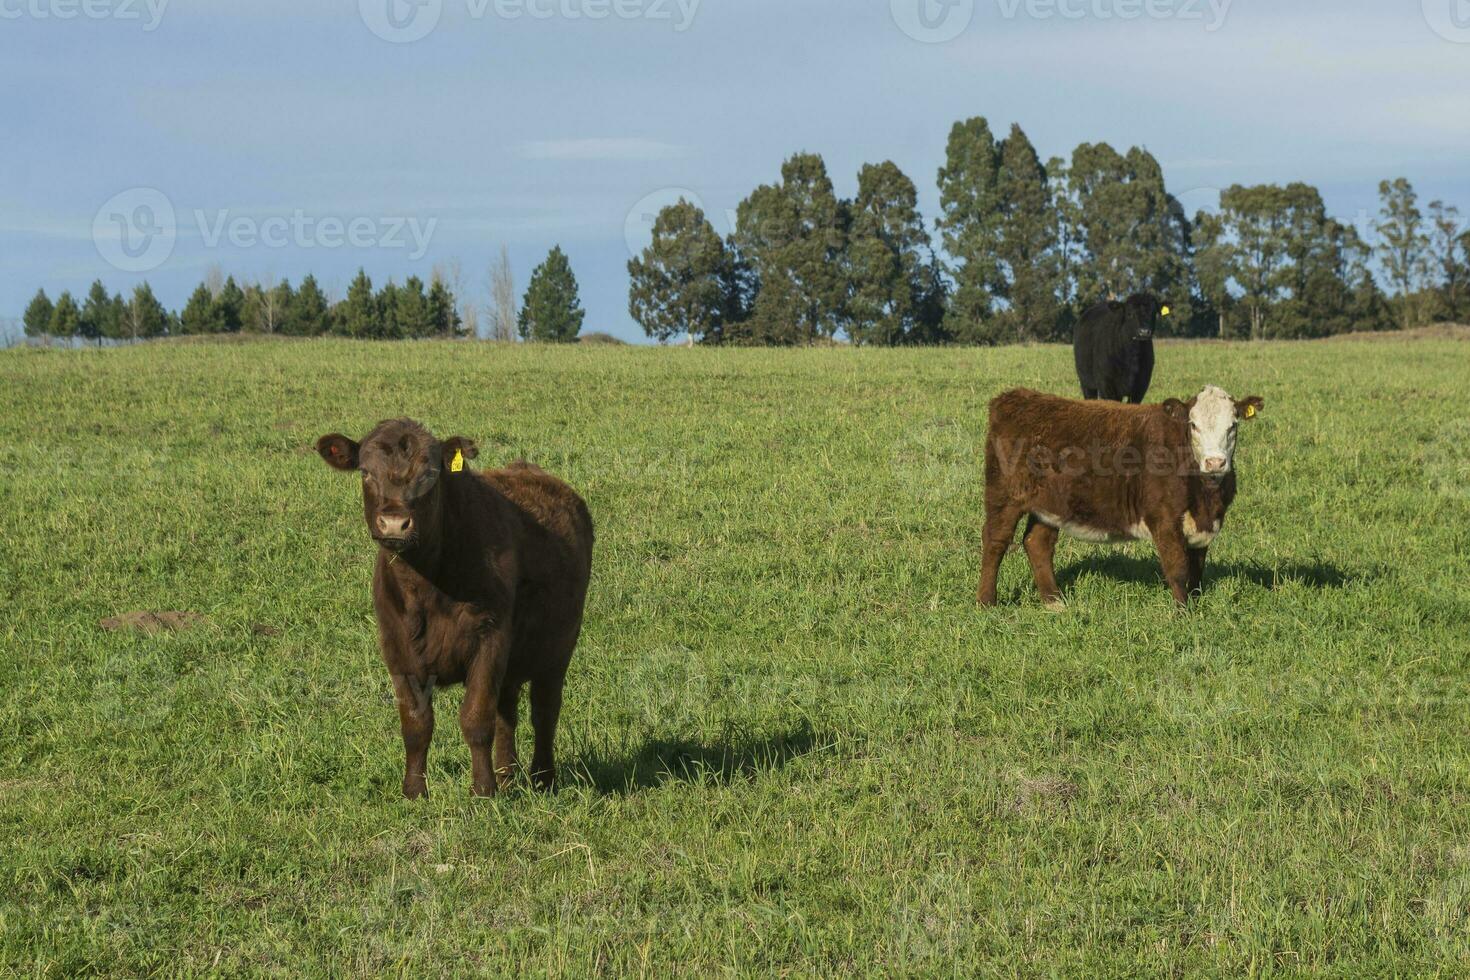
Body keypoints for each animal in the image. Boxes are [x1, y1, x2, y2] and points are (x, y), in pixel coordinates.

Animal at [318, 420, 593, 799]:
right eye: (365, 472)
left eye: (430, 473)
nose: (394, 523)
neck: (426, 587)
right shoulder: (397, 650)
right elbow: (416, 724)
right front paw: (414, 791)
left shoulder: (490, 639)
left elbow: (476, 718)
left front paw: (483, 790)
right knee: (508, 712)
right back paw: (508, 776)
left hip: (557, 649)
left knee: (544, 710)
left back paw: (542, 777)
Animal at [976, 387, 1264, 608]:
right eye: (1193, 425)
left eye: (1233, 425)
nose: (1215, 462)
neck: (1205, 495)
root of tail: (1016, 397)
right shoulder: (1164, 521)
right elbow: (1178, 569)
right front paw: (1183, 614)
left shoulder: (1203, 526)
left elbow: (1196, 573)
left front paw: (1194, 607)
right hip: (1004, 496)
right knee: (995, 541)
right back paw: (987, 602)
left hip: (1049, 505)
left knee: (1037, 543)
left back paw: (1054, 602)